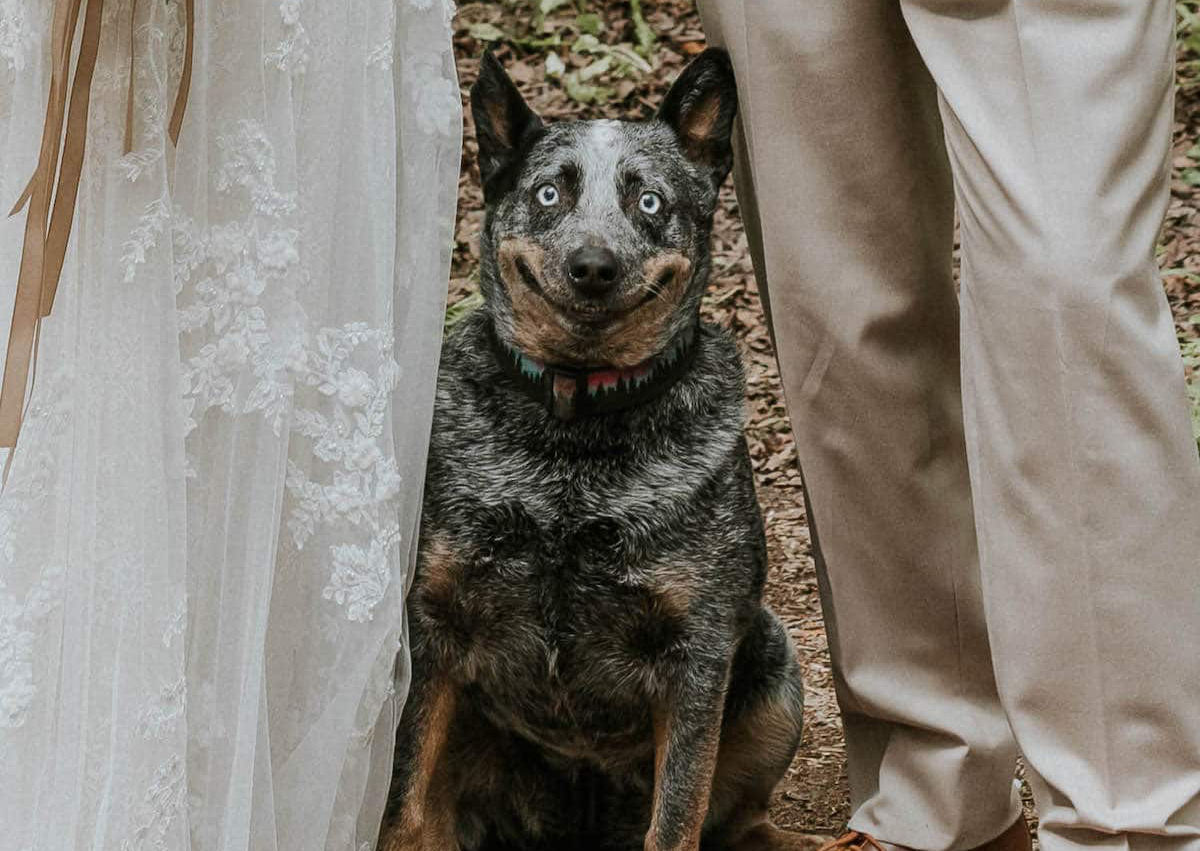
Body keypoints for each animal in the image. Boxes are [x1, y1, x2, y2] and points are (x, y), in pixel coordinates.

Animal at [379, 48, 820, 849]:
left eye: (648, 203)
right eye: (550, 193)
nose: (592, 264)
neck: (573, 452)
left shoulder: (699, 652)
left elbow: (677, 817)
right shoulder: (434, 625)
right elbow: (404, 801)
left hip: (775, 674)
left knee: (737, 813)